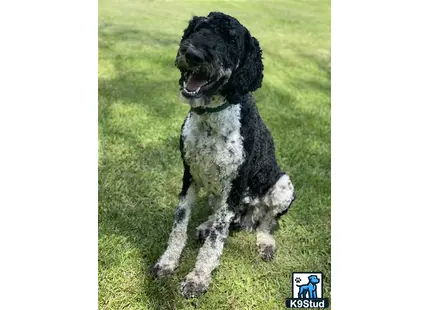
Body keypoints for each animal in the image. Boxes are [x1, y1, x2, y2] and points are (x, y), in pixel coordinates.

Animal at [150, 12, 296, 298]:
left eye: (231, 41)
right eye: (199, 29)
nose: (192, 54)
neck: (211, 117)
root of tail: (247, 215)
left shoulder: (235, 185)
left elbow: (216, 240)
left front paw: (198, 278)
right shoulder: (189, 175)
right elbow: (179, 224)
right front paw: (167, 262)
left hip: (282, 185)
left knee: (266, 222)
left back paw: (265, 242)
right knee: (223, 217)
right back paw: (206, 225)